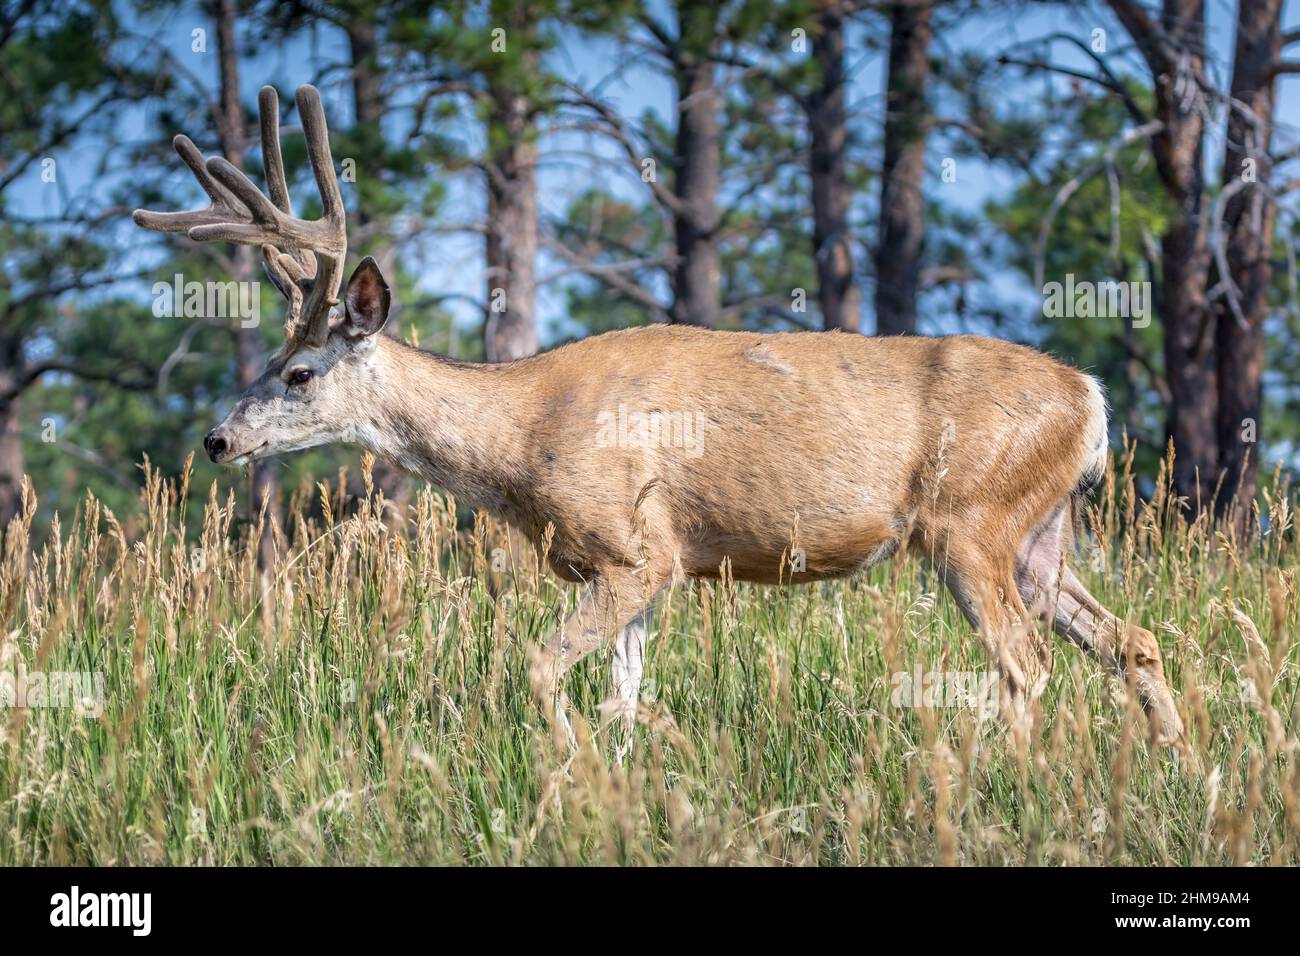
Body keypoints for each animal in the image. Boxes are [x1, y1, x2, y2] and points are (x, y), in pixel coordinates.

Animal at [134, 84, 1184, 753]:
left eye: (299, 372)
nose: (218, 439)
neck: (519, 436)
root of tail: (1091, 399)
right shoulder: (644, 570)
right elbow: (625, 706)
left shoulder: (638, 549)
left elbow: (540, 673)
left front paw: (566, 777)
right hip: (1039, 533)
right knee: (1129, 638)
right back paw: (1180, 769)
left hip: (971, 522)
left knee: (1024, 665)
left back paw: (1009, 779)